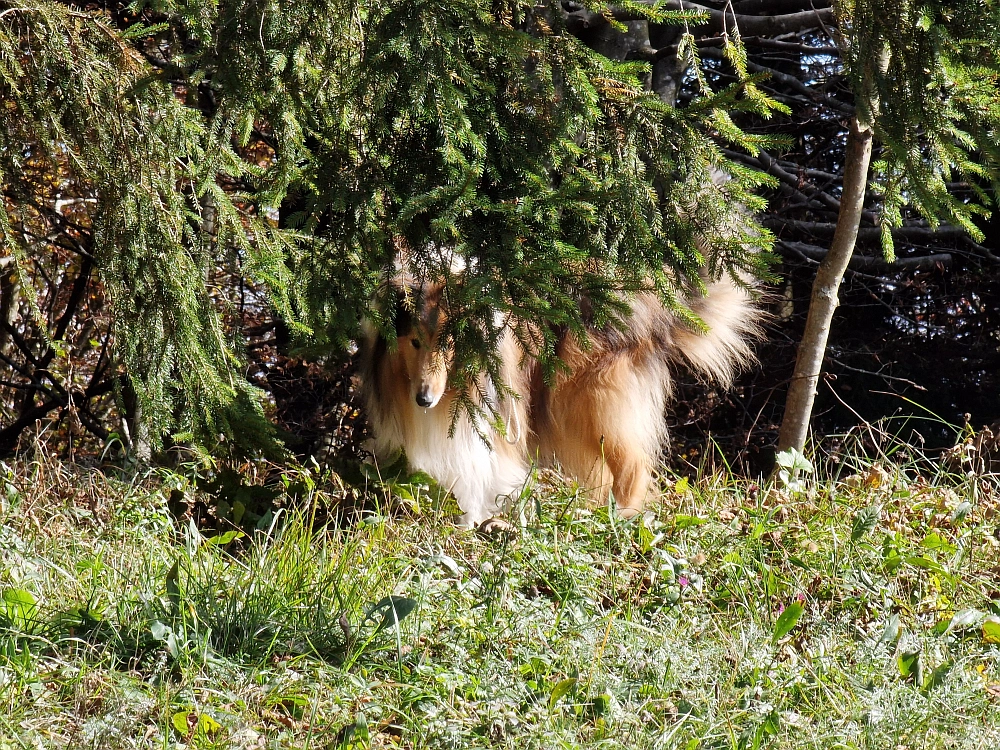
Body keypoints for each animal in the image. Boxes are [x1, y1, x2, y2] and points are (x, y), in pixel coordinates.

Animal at [360, 274, 756, 524]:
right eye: (414, 341)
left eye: (449, 344)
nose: (424, 399)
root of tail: (651, 310)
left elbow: (482, 471)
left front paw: (472, 520)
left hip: (592, 405)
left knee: (633, 465)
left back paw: (622, 516)